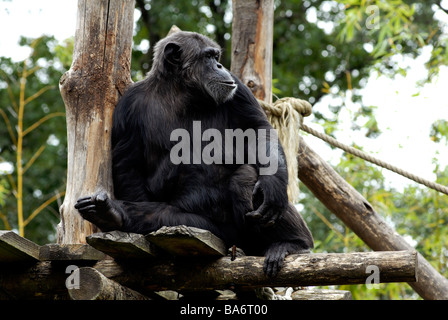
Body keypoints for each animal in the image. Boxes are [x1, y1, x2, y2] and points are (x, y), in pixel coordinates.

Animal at [75, 31, 314, 276]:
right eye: (208, 56)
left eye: (216, 56)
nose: (220, 65)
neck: (181, 91)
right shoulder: (128, 105)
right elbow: (128, 165)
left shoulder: (237, 88)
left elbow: (257, 130)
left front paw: (272, 186)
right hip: (215, 232)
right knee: (167, 216)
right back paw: (110, 213)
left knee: (245, 179)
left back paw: (292, 244)